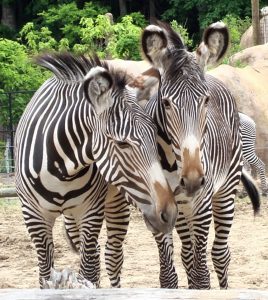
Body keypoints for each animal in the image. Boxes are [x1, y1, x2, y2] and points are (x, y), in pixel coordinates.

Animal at [14, 52, 178, 288]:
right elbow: (46, 274)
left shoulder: (91, 213)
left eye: (154, 137)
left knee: (114, 256)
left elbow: (90, 272)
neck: (63, 170)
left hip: (118, 203)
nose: (169, 213)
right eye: (122, 143)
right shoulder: (33, 216)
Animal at [138, 19, 260, 290]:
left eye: (205, 101)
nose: (193, 179)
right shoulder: (158, 206)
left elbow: (203, 276)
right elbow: (168, 276)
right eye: (166, 103)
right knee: (187, 255)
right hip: (184, 209)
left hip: (224, 192)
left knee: (220, 254)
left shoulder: (203, 205)